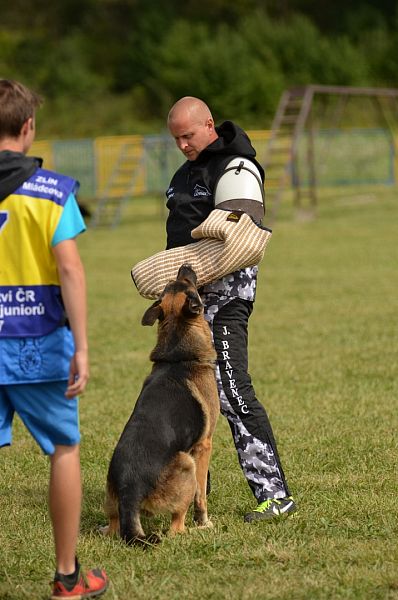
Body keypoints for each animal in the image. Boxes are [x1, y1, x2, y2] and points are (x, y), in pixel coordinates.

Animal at [102, 264, 219, 548]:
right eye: (188, 286)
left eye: (174, 283)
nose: (186, 265)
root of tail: (129, 491)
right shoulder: (204, 445)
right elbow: (201, 495)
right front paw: (204, 521)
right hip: (186, 462)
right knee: (175, 529)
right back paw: (194, 532)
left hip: (112, 504)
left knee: (114, 529)